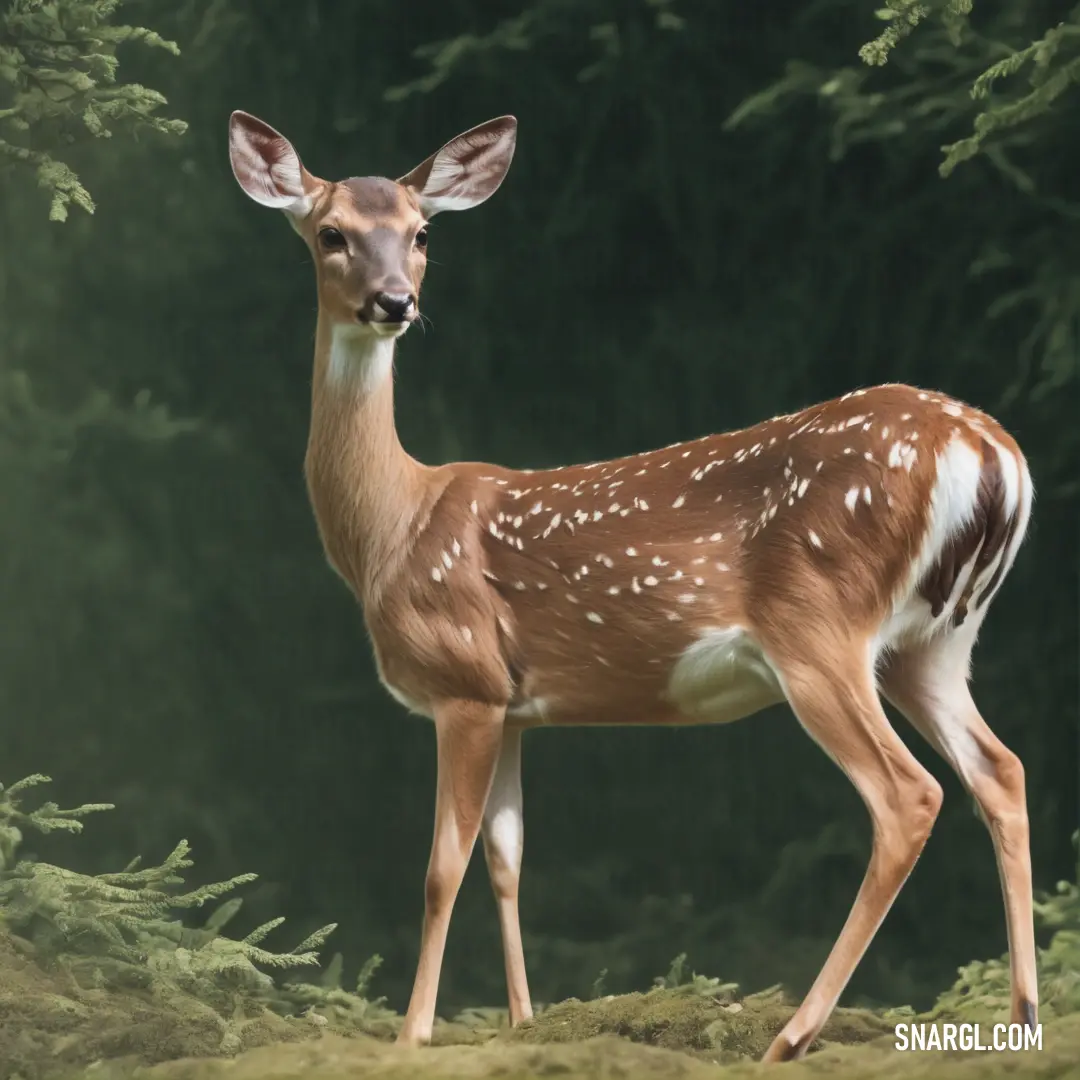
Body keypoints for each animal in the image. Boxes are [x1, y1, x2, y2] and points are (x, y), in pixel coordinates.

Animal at [227, 111, 1036, 1062]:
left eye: (422, 234)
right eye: (332, 234)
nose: (396, 302)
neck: (392, 528)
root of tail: (990, 452)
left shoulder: (462, 681)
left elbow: (440, 868)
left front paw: (413, 1034)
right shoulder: (512, 705)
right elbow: (507, 859)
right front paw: (524, 1021)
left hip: (820, 624)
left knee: (909, 796)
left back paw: (793, 1034)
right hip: (933, 641)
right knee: (1001, 771)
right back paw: (1023, 1017)